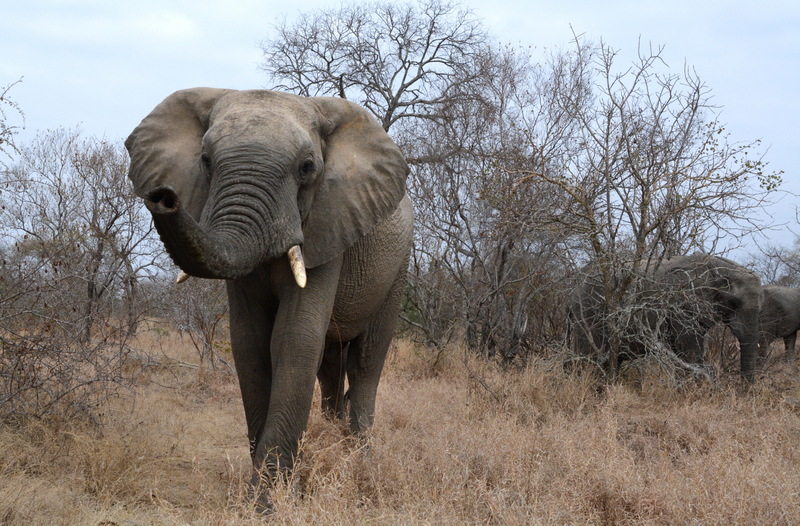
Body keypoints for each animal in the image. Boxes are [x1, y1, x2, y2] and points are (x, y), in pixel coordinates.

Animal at [125, 88, 413, 494]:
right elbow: (250, 342)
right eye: (205, 160)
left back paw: (361, 461)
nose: (163, 197)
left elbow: (294, 339)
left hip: (398, 267)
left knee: (365, 361)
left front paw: (268, 497)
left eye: (307, 167)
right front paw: (264, 488)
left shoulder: (326, 224)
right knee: (329, 364)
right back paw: (332, 434)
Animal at [569, 253, 763, 381]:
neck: (716, 266)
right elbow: (690, 350)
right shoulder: (680, 303)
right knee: (585, 359)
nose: (743, 394)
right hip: (587, 312)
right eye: (733, 302)